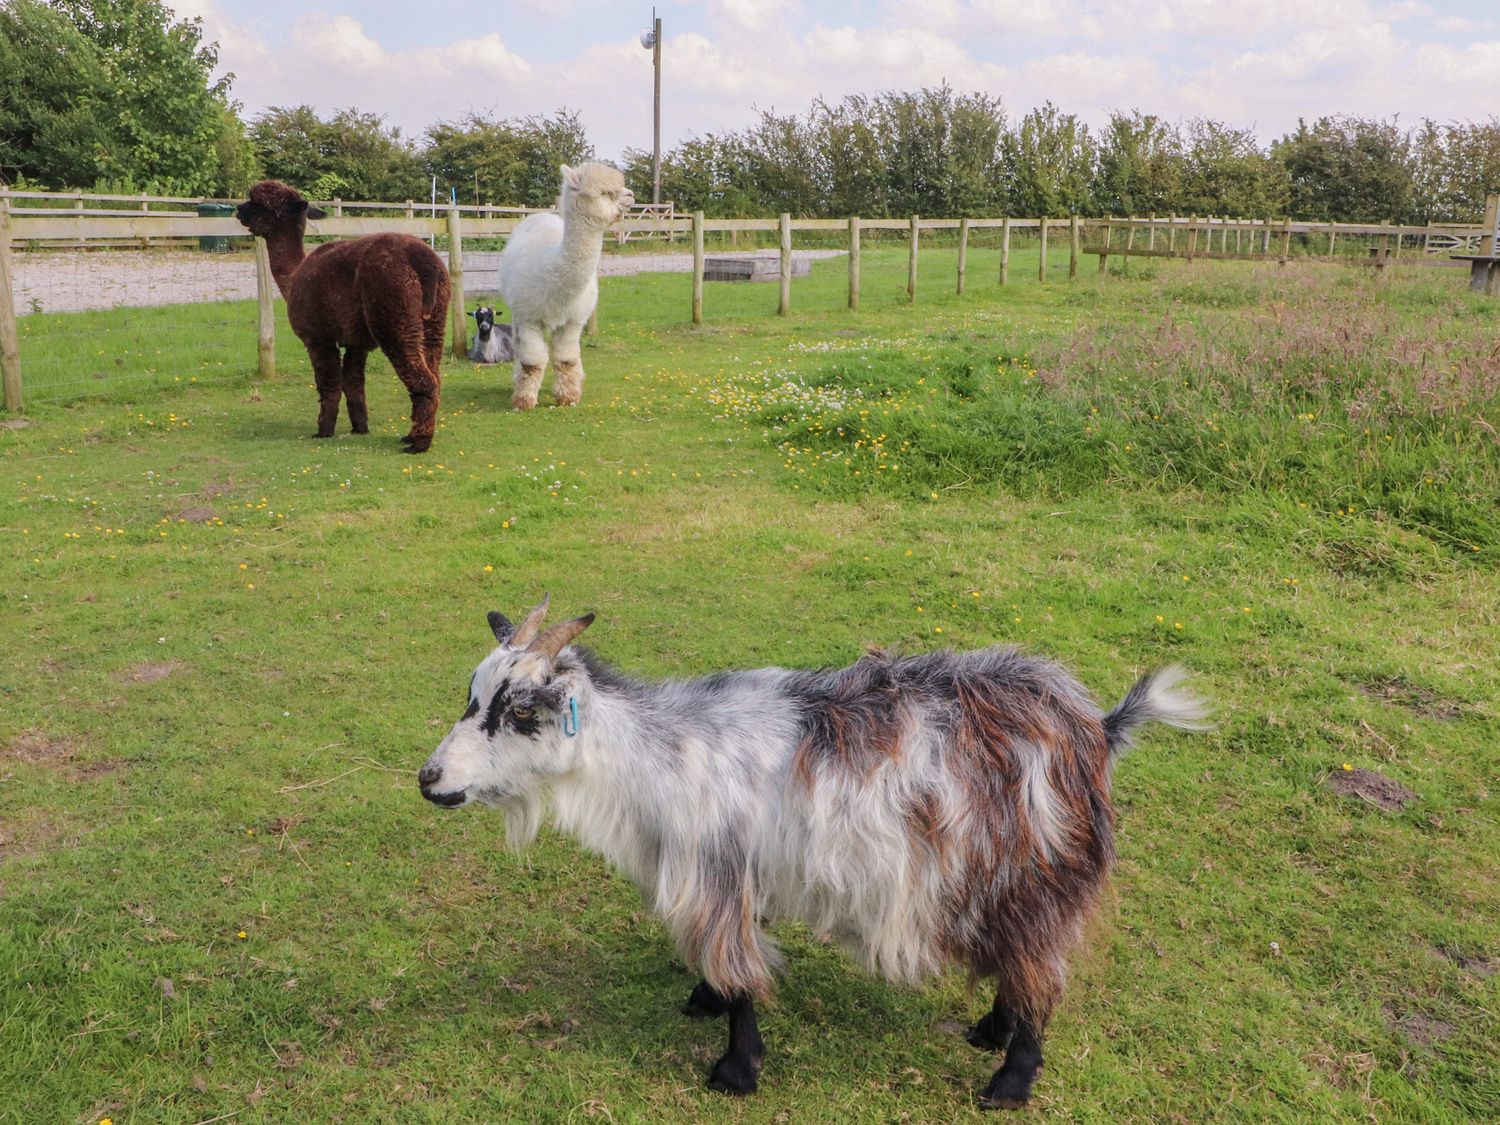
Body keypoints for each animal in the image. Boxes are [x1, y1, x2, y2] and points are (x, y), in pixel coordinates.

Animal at [417, 600, 1212, 1110]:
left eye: (520, 711)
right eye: (471, 697)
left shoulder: (717, 871)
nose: (430, 779)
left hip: (1038, 868)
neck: (662, 759)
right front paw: (704, 1000)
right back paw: (991, 1027)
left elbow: (740, 971)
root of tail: (1097, 727)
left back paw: (1009, 1082)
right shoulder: (743, 875)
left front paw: (735, 1068)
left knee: (1042, 969)